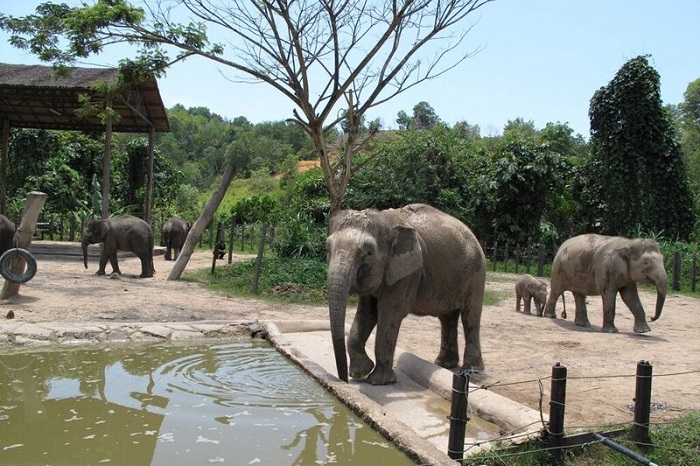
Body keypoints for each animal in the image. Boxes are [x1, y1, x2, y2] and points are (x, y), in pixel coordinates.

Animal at [324, 202, 484, 384]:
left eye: (368, 253)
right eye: (328, 248)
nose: (343, 380)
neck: (384, 220)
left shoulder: (408, 273)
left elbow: (389, 313)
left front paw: (379, 381)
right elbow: (366, 313)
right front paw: (361, 372)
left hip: (476, 273)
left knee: (470, 316)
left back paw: (471, 371)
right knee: (447, 318)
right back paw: (445, 364)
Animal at [540, 235, 668, 334]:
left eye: (663, 259)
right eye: (646, 263)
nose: (652, 317)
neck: (628, 243)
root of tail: (561, 246)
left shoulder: (627, 276)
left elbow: (630, 297)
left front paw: (644, 331)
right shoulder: (605, 269)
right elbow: (609, 295)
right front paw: (611, 331)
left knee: (579, 295)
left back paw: (583, 325)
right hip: (557, 269)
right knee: (556, 291)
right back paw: (550, 316)